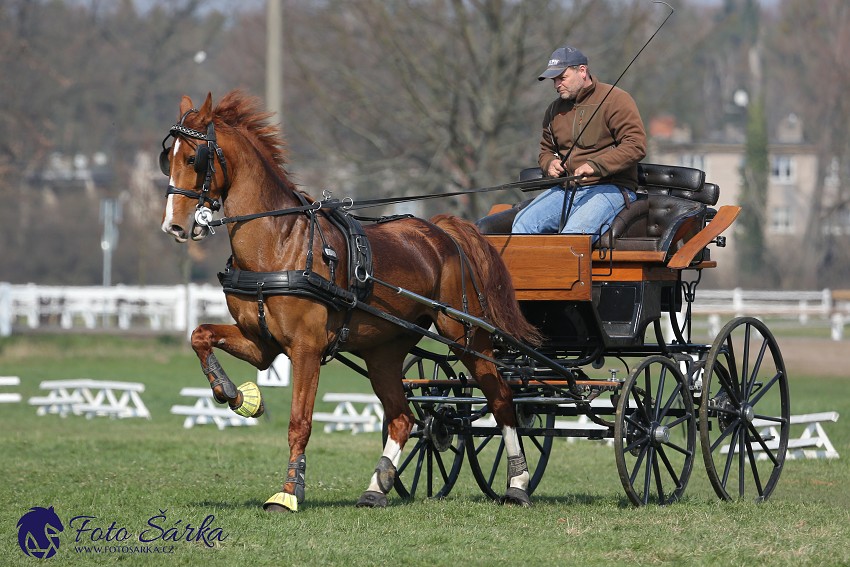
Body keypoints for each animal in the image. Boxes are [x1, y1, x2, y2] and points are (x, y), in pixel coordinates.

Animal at [161, 91, 536, 512]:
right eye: (167, 158)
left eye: (193, 158)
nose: (173, 225)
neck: (280, 243)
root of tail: (443, 230)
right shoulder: (261, 345)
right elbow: (200, 335)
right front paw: (237, 395)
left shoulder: (306, 348)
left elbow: (299, 422)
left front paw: (289, 491)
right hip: (384, 351)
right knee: (402, 417)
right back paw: (377, 486)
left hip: (465, 335)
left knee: (502, 400)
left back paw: (518, 482)